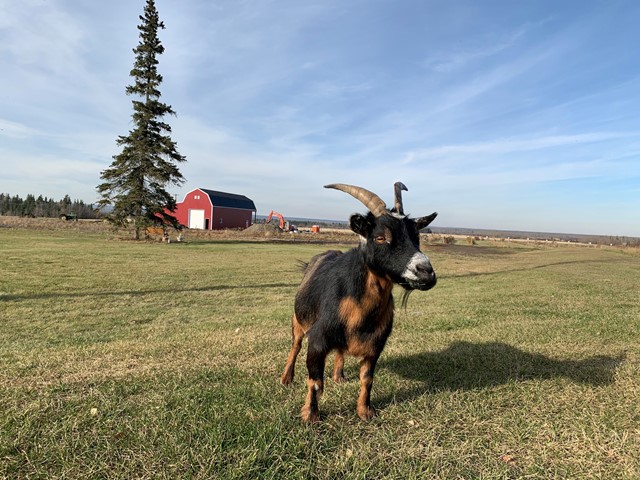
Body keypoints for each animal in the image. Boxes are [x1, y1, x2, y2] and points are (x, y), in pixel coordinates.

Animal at [282, 182, 438, 422]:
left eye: (417, 236)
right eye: (381, 237)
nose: (426, 272)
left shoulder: (376, 345)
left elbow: (367, 378)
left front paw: (365, 411)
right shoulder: (317, 339)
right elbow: (315, 382)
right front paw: (310, 415)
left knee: (339, 352)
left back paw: (339, 375)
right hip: (297, 319)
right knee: (295, 346)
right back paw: (286, 379)